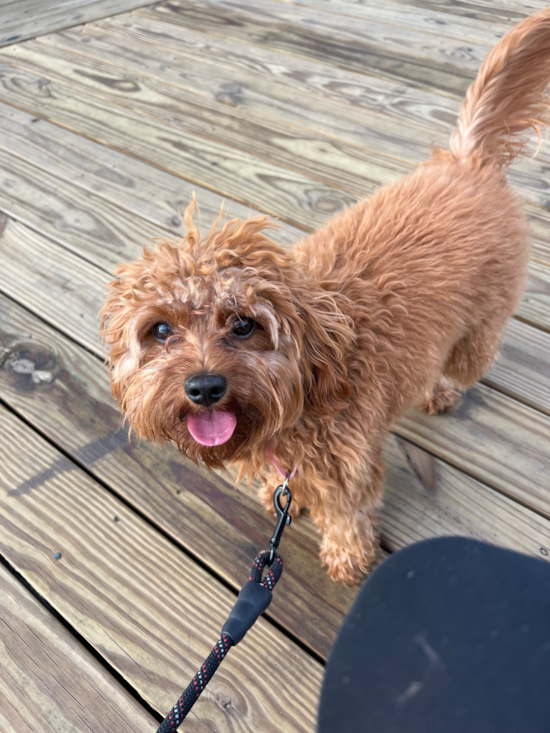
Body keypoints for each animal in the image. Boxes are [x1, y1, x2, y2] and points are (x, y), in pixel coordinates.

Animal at [101, 10, 550, 584]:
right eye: (160, 330)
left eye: (244, 324)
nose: (203, 388)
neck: (318, 376)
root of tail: (465, 161)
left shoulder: (349, 466)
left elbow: (346, 513)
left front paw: (347, 556)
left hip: (479, 331)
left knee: (464, 363)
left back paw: (442, 390)